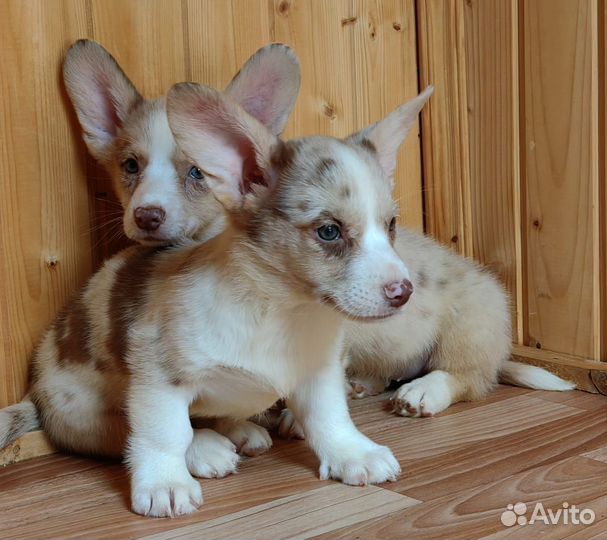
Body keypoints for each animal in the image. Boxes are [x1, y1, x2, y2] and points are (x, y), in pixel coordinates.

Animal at [3, 83, 432, 516]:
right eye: (329, 231)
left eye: (391, 225)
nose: (404, 292)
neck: (283, 311)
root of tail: (34, 395)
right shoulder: (159, 378)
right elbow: (165, 433)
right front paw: (164, 483)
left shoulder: (320, 372)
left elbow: (331, 416)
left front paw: (352, 454)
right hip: (84, 412)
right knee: (129, 430)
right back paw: (206, 449)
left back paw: (240, 430)